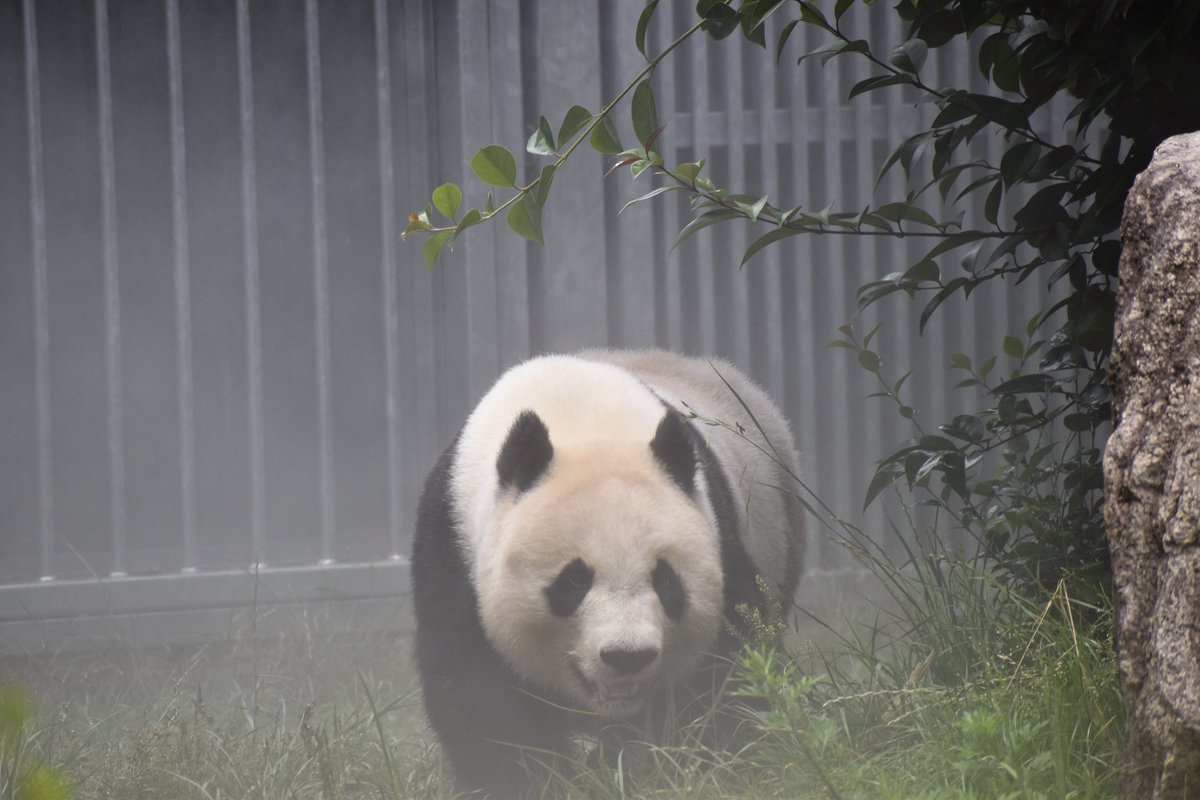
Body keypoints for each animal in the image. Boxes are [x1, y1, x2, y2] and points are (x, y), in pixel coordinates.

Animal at [412, 352, 806, 800]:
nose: (626, 656)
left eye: (666, 582)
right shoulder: (454, 546)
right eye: (573, 582)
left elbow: (727, 671)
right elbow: (477, 693)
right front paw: (527, 779)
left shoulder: (720, 534)